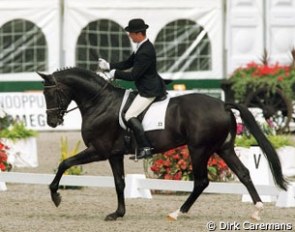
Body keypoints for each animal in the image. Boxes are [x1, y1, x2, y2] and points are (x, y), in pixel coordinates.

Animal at [37, 67, 290, 221]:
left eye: (52, 94)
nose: (52, 122)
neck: (100, 102)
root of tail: (223, 104)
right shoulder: (114, 153)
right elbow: (119, 183)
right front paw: (118, 213)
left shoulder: (99, 150)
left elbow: (65, 163)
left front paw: (55, 196)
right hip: (223, 148)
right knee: (244, 173)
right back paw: (257, 210)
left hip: (198, 149)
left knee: (201, 181)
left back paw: (177, 213)